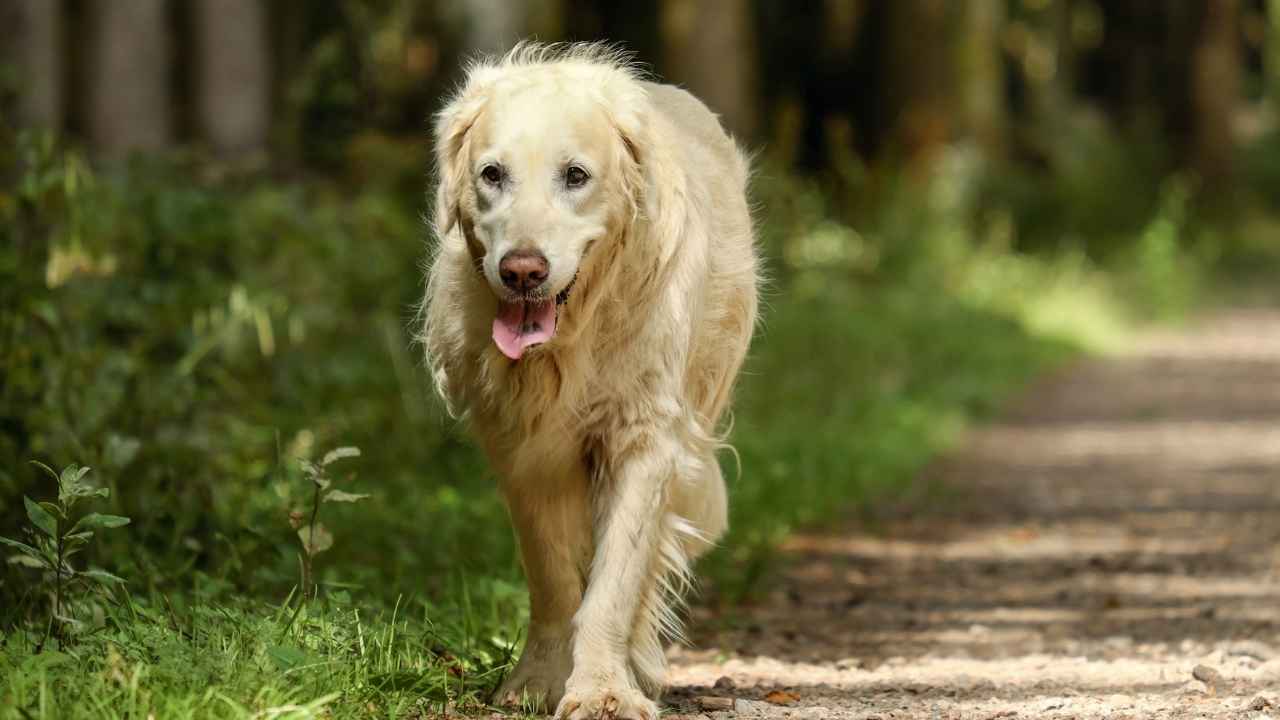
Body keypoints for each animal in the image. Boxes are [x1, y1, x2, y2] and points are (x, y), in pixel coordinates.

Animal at [419, 44, 757, 717]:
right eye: (492, 174)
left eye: (575, 176)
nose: (522, 270)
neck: (570, 340)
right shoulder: (522, 448)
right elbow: (552, 577)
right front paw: (538, 681)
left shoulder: (645, 437)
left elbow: (615, 581)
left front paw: (604, 688)